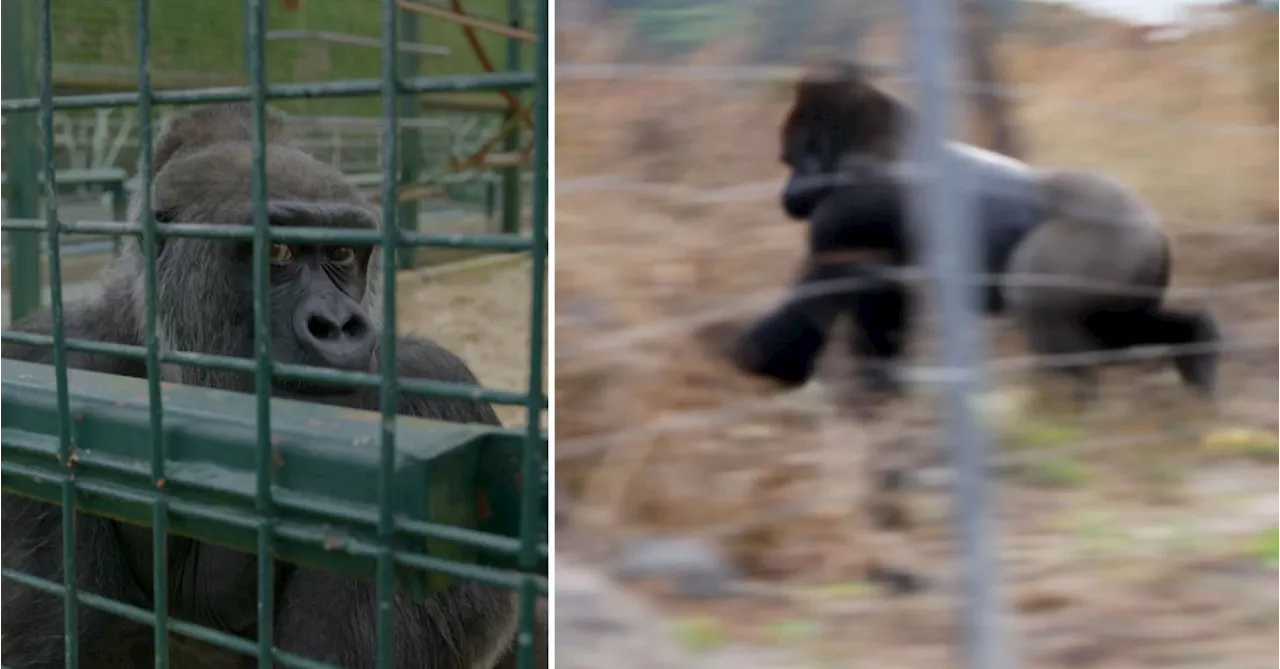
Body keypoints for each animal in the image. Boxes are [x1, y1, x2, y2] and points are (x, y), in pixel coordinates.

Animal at [727, 61, 1213, 404]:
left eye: (790, 159)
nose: (787, 196)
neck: (868, 141)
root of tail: (1153, 226)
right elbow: (881, 306)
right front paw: (882, 394)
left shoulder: (852, 205)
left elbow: (820, 296)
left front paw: (761, 361)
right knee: (1122, 329)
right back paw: (1197, 357)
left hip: (1103, 239)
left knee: (1043, 310)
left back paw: (1066, 412)